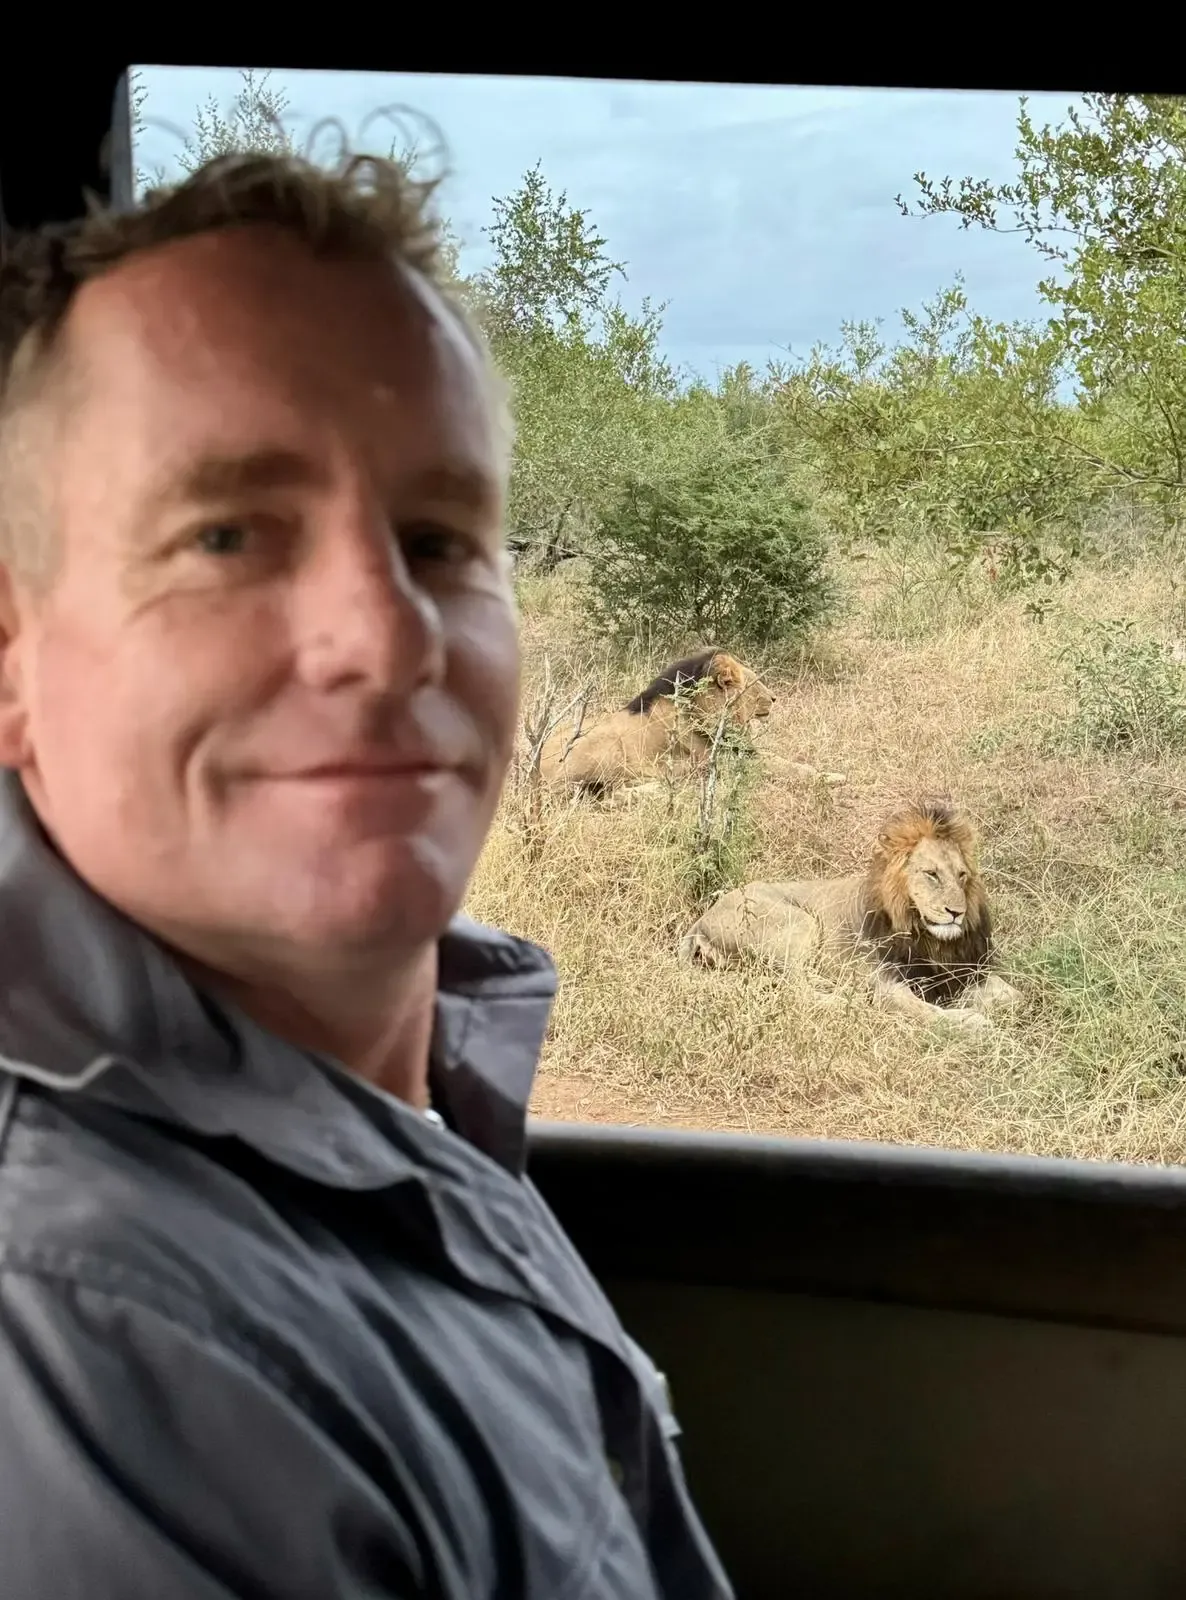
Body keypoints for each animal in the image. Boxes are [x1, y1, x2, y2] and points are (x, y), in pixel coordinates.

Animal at [538, 649, 778, 798]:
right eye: (757, 683)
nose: (774, 698)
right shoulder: (718, 757)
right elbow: (777, 763)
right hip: (606, 745)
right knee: (611, 794)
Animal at [677, 798, 1019, 1032]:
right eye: (931, 874)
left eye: (962, 875)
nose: (956, 913)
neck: (925, 936)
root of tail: (702, 918)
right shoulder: (886, 985)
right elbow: (926, 1012)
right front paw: (972, 1022)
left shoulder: (962, 973)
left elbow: (1014, 997)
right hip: (800, 921)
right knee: (794, 989)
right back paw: (842, 998)